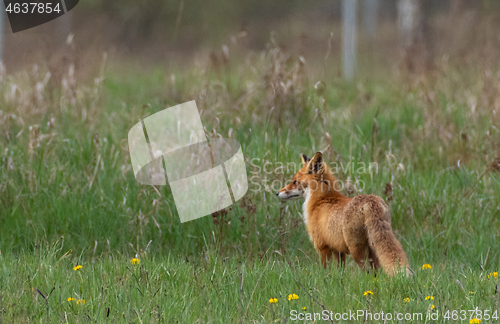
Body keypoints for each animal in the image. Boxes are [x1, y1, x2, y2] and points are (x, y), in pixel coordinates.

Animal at [278, 152, 410, 276]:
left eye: (295, 182)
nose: (277, 193)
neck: (321, 200)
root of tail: (371, 202)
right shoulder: (339, 251)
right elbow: (340, 273)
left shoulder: (322, 246)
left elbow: (324, 271)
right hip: (373, 249)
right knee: (377, 273)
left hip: (357, 251)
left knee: (366, 272)